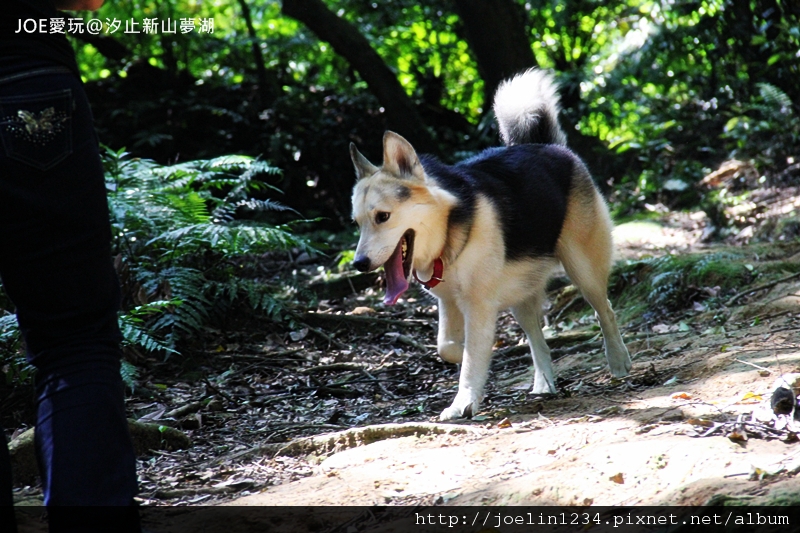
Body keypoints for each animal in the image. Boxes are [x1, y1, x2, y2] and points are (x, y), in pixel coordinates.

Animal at [350, 69, 632, 420]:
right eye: (356, 223)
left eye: (383, 217)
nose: (358, 264)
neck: (448, 230)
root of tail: (546, 145)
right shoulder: (450, 302)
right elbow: (447, 346)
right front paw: (467, 360)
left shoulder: (478, 305)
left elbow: (471, 355)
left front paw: (463, 401)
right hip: (519, 294)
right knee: (537, 337)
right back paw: (545, 384)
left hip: (583, 271)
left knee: (605, 311)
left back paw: (618, 361)